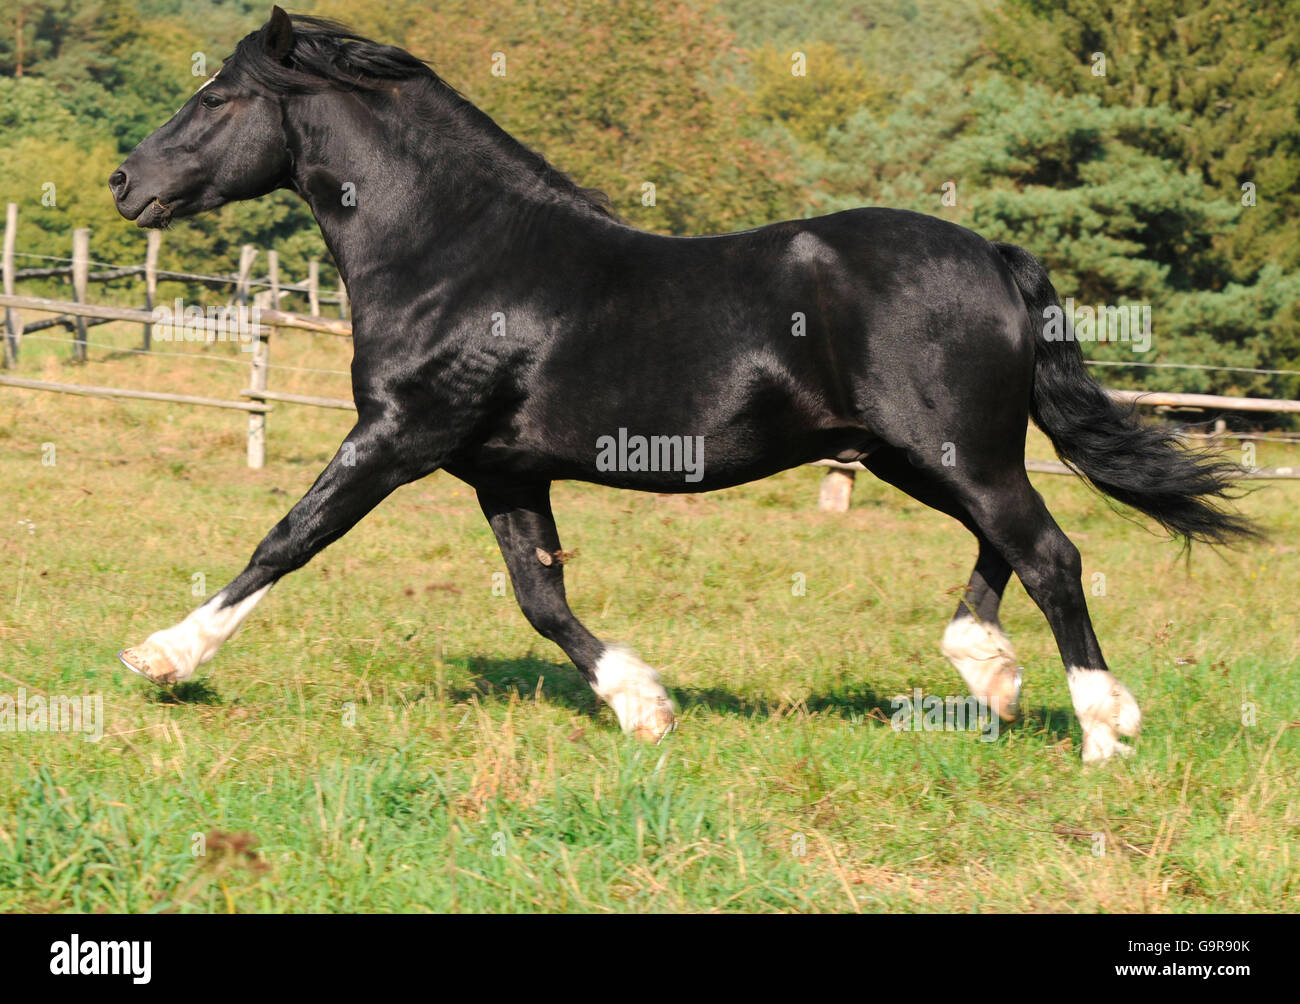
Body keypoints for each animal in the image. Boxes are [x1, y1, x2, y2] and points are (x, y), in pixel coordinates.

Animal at [116, 7, 1253, 759]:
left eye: (219, 96)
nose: (128, 182)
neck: (460, 253)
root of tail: (991, 255)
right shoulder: (501, 470)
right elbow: (541, 598)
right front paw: (643, 705)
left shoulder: (399, 436)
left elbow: (287, 538)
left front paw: (163, 656)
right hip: (919, 453)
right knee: (1006, 548)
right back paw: (992, 671)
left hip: (954, 449)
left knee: (1049, 553)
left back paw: (1101, 732)